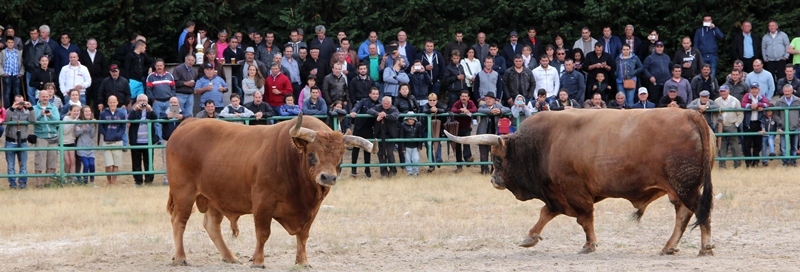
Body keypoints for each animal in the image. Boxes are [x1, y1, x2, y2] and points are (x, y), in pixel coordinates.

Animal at [166, 113, 378, 268]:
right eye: (312, 155)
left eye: (340, 158)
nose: (328, 178)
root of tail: (189, 123)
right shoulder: (263, 203)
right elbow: (263, 233)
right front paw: (258, 261)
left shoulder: (312, 210)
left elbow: (303, 235)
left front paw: (303, 261)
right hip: (184, 193)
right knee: (179, 222)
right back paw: (181, 257)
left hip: (214, 198)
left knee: (211, 225)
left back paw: (230, 257)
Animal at [446, 108, 716, 255]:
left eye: (497, 158)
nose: (493, 179)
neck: (543, 144)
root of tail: (690, 114)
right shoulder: (557, 195)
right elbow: (545, 213)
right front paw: (530, 237)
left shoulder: (574, 191)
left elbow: (585, 219)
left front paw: (589, 244)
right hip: (679, 189)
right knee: (684, 214)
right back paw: (670, 246)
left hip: (685, 187)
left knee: (701, 212)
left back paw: (705, 246)